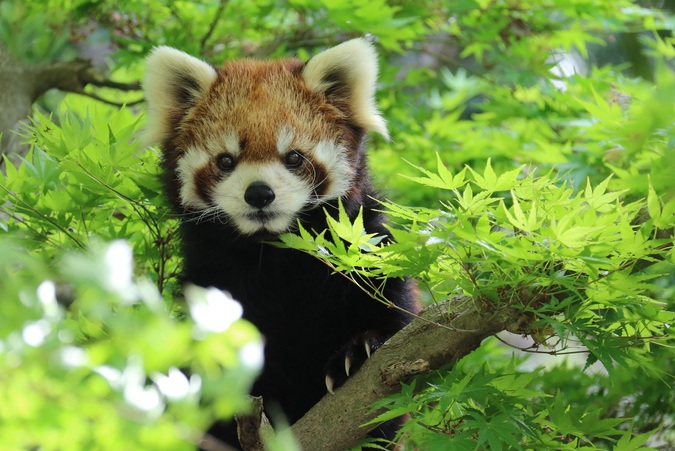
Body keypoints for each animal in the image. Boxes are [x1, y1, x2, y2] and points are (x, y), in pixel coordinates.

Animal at [144, 40, 418, 450]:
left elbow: (395, 313)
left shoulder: (364, 245)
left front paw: (361, 349)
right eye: (226, 160)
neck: (276, 252)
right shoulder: (213, 278)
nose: (259, 193)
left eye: (294, 157)